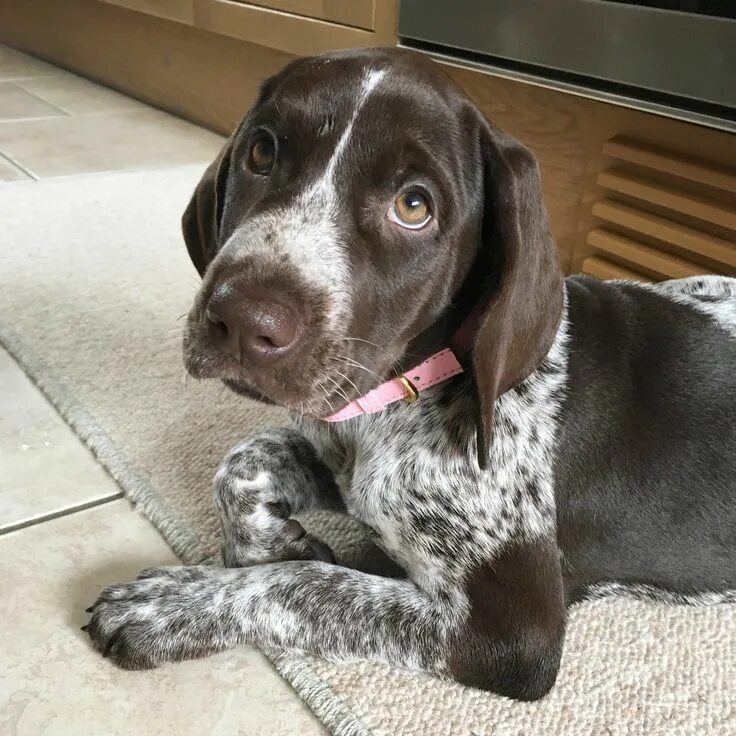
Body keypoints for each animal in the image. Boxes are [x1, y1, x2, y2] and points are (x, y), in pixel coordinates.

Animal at [86, 47, 736, 700]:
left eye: (414, 205)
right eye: (262, 152)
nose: (242, 320)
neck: (402, 399)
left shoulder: (509, 633)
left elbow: (307, 587)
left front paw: (170, 604)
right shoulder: (346, 465)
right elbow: (242, 462)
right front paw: (273, 541)